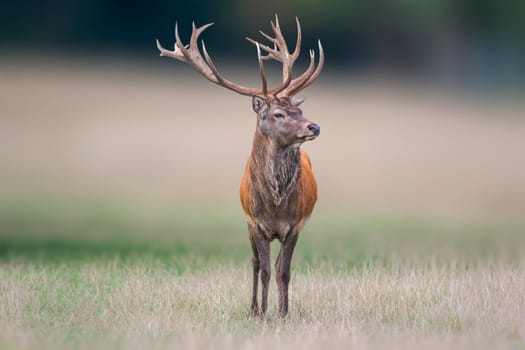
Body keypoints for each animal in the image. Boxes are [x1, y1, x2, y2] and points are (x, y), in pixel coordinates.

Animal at [156, 15, 322, 318]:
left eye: (300, 111)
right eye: (278, 114)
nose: (314, 126)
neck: (275, 205)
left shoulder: (295, 225)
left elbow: (284, 271)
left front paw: (283, 313)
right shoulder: (255, 222)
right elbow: (265, 269)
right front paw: (264, 313)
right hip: (247, 222)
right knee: (255, 262)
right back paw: (254, 308)